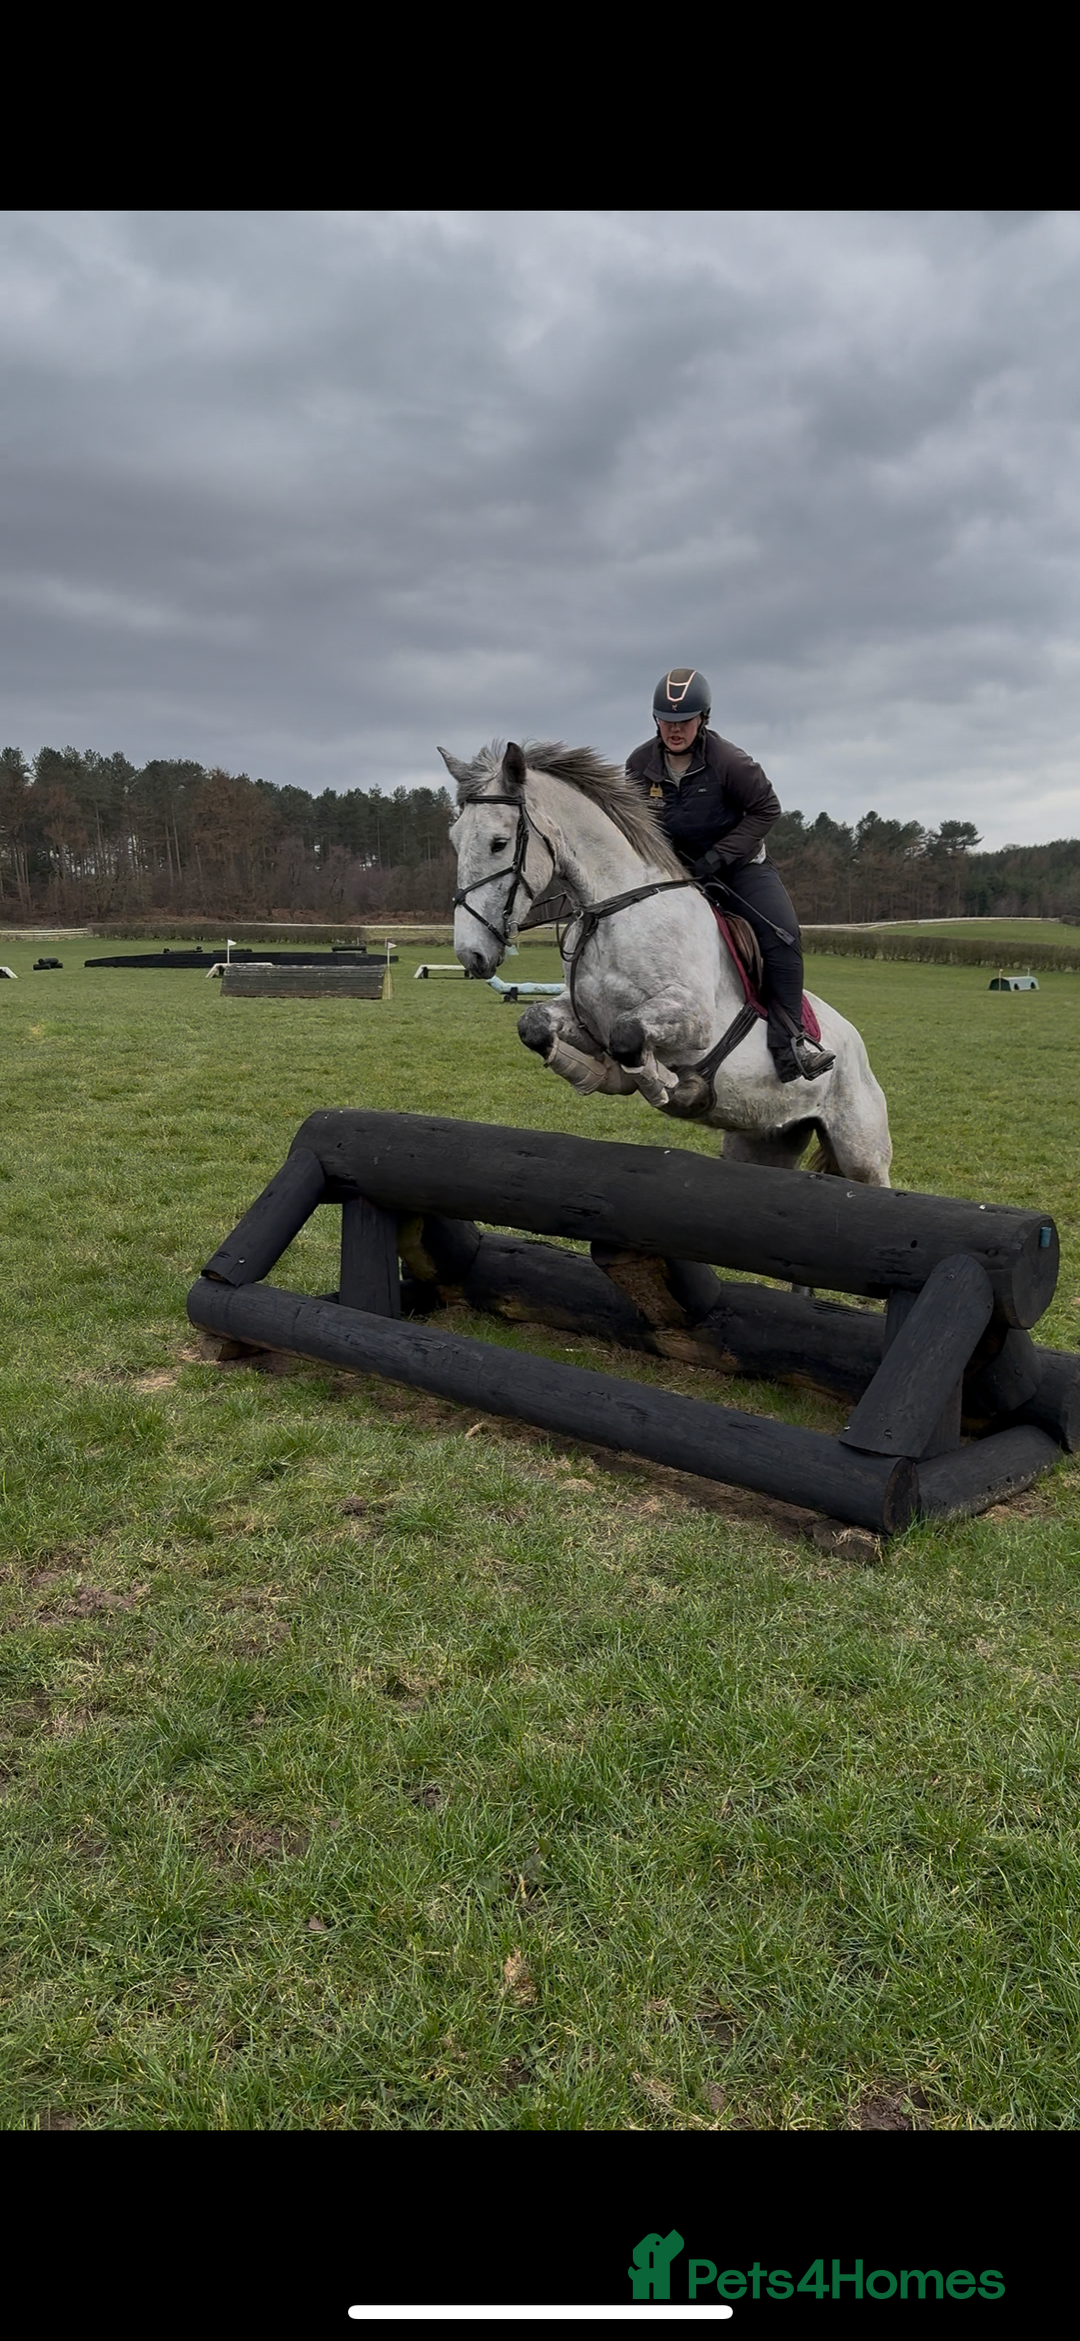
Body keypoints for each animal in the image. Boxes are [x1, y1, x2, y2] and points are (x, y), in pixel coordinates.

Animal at [439, 740, 892, 1186]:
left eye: (499, 843)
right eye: (455, 840)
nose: (471, 955)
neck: (615, 910)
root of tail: (855, 1042)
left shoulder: (693, 1018)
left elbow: (628, 1034)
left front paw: (668, 1086)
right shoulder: (584, 1017)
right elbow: (534, 1025)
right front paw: (603, 1075)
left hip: (861, 1150)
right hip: (762, 1140)